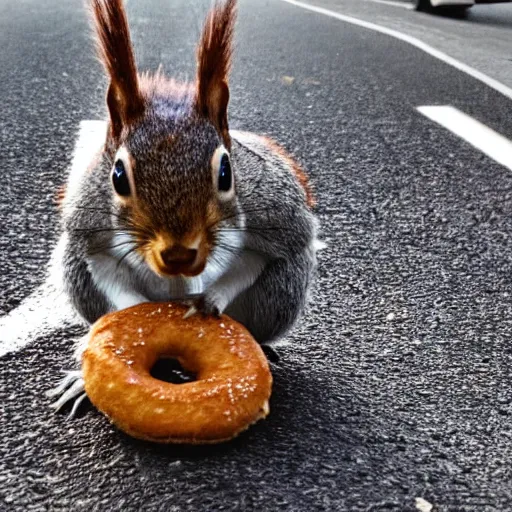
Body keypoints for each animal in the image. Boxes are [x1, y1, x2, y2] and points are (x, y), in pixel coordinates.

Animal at [47, 0, 320, 412]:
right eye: (117, 176)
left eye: (226, 172)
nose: (178, 255)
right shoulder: (87, 227)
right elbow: (105, 268)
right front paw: (132, 315)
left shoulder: (277, 215)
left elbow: (257, 258)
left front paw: (209, 300)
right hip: (73, 270)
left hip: (282, 291)